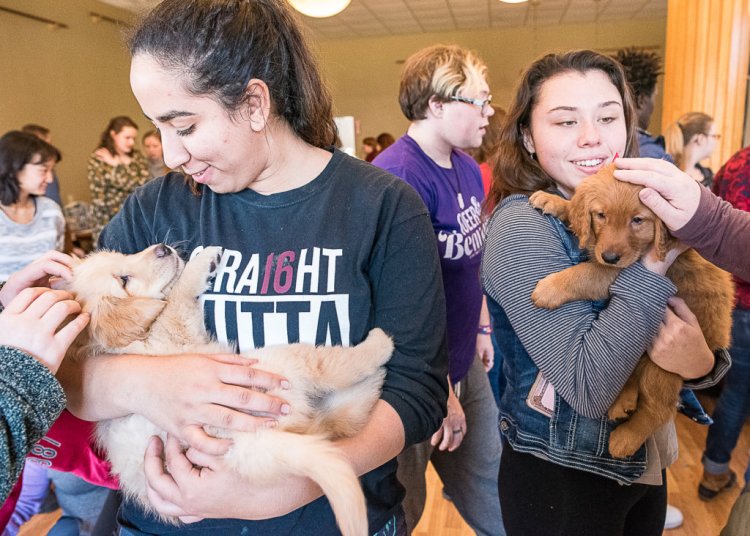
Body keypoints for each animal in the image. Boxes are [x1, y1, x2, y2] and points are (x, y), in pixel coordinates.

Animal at [66, 244, 394, 536]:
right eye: (123, 279)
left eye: (126, 255)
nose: (163, 248)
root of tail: (247, 445)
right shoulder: (177, 324)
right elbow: (180, 292)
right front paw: (203, 261)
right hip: (279, 364)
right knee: (334, 368)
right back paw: (381, 346)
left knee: (345, 418)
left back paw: (377, 380)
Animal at [528, 163, 736, 456]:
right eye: (601, 215)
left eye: (637, 221)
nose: (610, 257)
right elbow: (577, 212)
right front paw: (555, 201)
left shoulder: (619, 271)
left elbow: (586, 273)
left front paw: (550, 288)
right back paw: (622, 402)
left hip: (664, 366)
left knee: (659, 409)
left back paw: (625, 438)